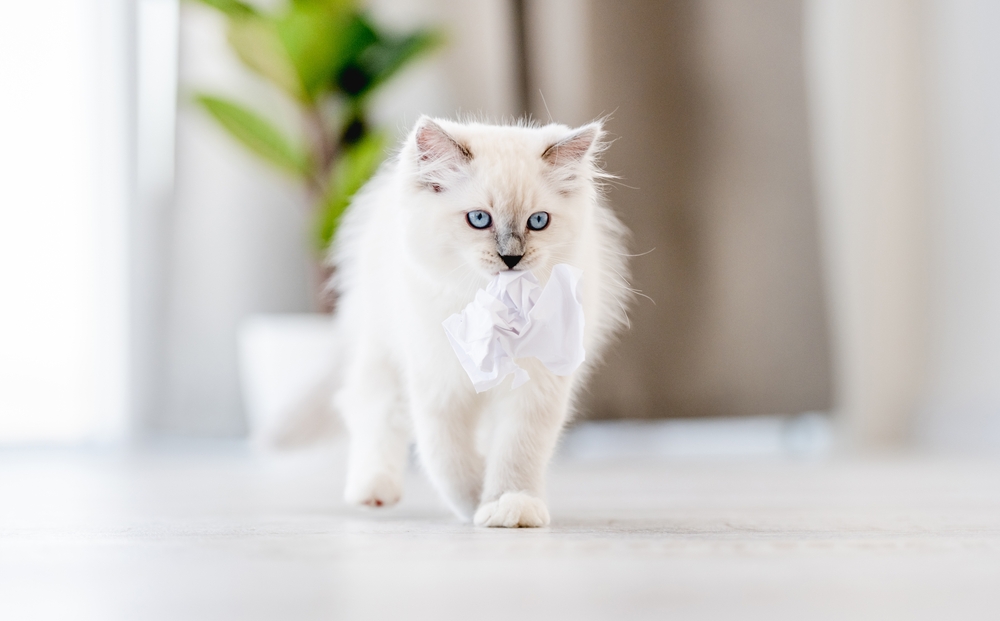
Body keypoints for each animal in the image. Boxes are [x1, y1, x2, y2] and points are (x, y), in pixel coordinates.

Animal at [332, 115, 628, 524]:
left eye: (538, 221)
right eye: (479, 219)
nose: (511, 257)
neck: (494, 307)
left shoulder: (534, 390)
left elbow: (517, 453)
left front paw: (508, 504)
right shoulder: (439, 387)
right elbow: (449, 460)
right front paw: (474, 505)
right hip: (381, 350)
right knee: (373, 409)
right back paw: (373, 490)